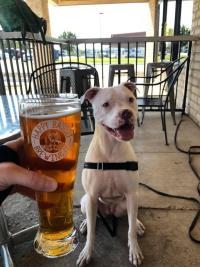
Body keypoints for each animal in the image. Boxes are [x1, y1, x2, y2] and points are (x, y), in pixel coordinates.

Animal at [76, 82, 144, 266]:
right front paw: (86, 253)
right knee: (91, 218)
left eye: (131, 100)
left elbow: (130, 230)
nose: (126, 113)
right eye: (105, 104)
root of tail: (111, 211)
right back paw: (85, 223)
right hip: (86, 201)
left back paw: (137, 223)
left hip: (131, 200)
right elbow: (92, 233)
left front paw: (134, 250)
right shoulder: (92, 196)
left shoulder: (131, 193)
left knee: (131, 216)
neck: (112, 148)